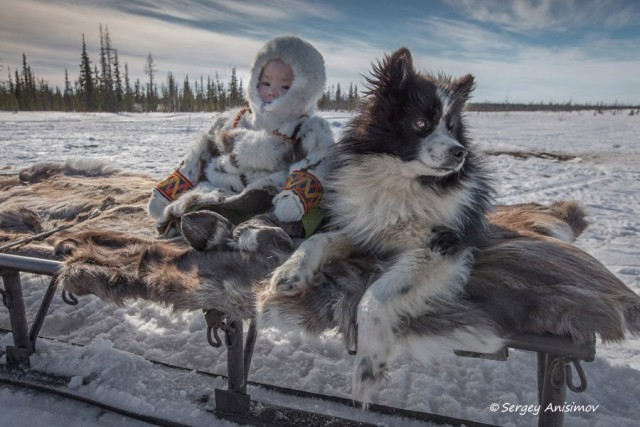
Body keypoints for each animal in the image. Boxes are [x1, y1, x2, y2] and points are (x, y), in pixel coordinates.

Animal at [268, 48, 498, 402]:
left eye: (452, 126)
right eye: (421, 123)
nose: (460, 152)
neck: (402, 182)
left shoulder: (441, 246)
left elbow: (374, 298)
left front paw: (368, 364)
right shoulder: (364, 229)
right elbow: (316, 241)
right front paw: (291, 271)